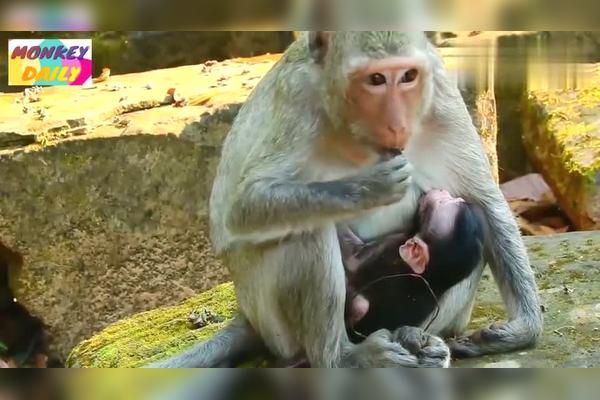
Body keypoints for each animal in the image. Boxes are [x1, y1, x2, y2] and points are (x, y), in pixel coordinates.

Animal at [340, 189, 486, 340]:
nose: (441, 191)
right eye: (453, 199)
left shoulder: (391, 248)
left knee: (360, 306)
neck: (431, 277)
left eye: (440, 203)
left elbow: (353, 258)